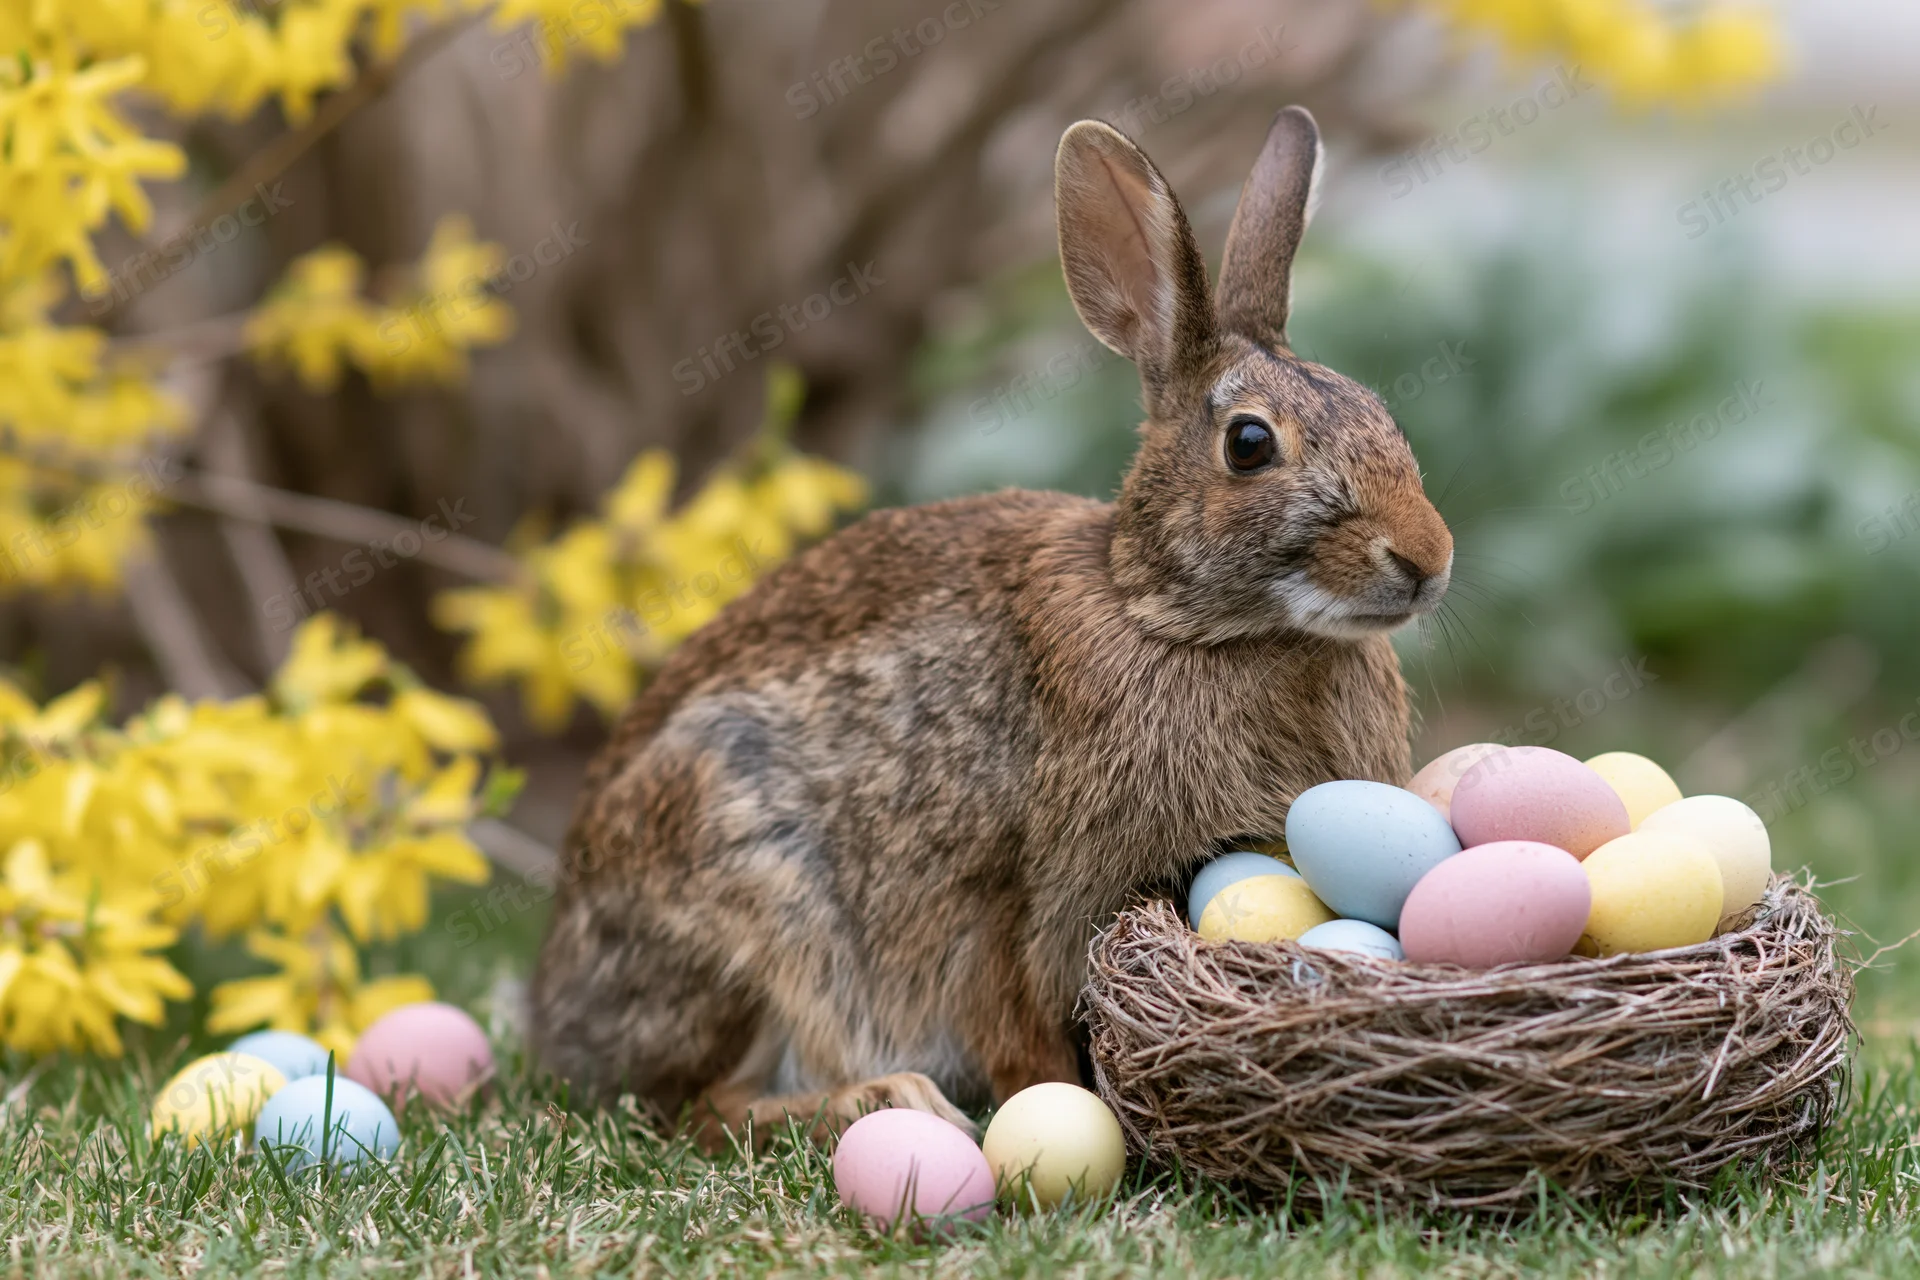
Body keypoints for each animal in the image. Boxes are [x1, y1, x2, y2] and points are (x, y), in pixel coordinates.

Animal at [530, 105, 1453, 1144]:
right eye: (1249, 444)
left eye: (1382, 414)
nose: (1428, 558)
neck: (1172, 615)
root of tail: (554, 1011)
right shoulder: (1013, 900)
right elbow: (1019, 1037)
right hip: (745, 888)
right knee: (700, 1104)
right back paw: (884, 1097)